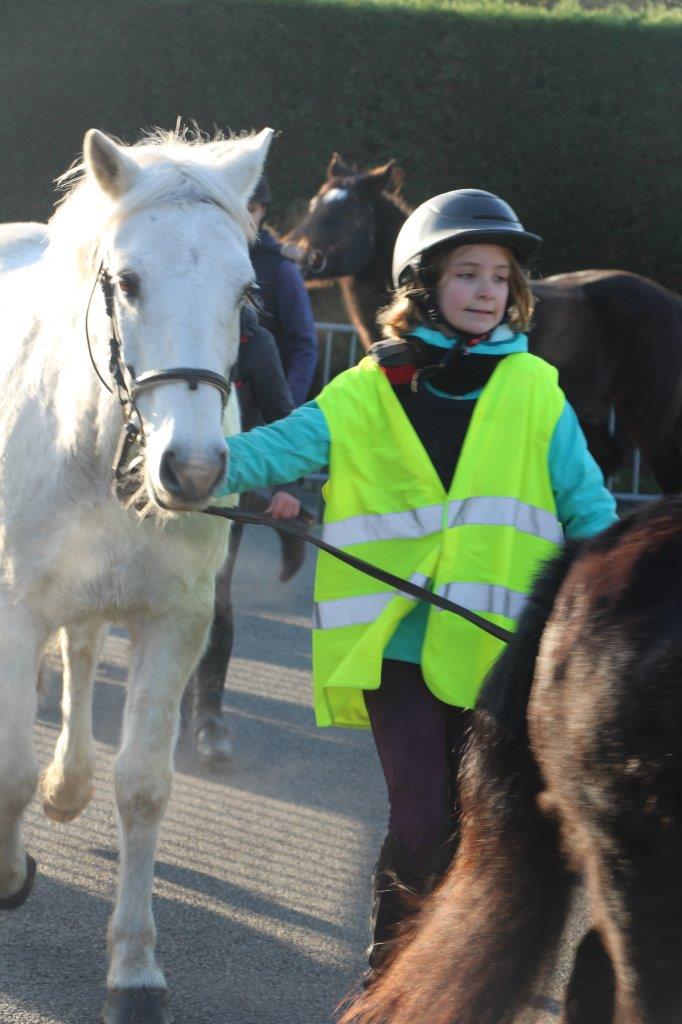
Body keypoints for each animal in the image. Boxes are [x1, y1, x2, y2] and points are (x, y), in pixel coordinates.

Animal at [0, 128, 270, 1024]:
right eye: (127, 282)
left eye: (246, 291)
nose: (193, 469)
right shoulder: (13, 613)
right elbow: (8, 766)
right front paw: (9, 874)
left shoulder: (174, 621)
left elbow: (145, 785)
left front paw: (135, 970)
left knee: (83, 657)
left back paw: (70, 783)